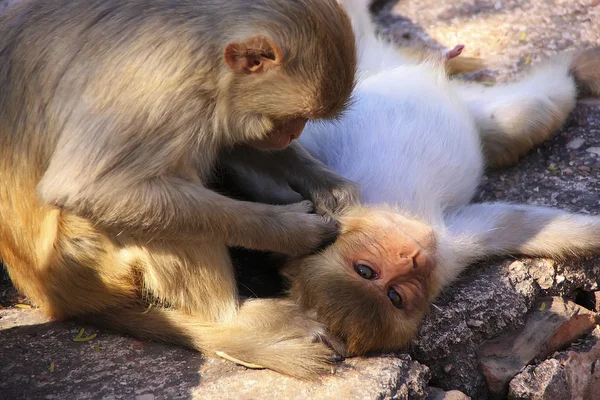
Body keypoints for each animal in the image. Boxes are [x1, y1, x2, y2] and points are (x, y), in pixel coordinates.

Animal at [0, 0, 360, 378]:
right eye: (292, 118)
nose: (292, 134)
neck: (205, 48)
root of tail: (49, 297)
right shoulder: (164, 88)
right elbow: (85, 187)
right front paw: (294, 231)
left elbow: (233, 141)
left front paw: (331, 189)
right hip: (82, 258)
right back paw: (235, 315)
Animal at [236, 0, 600, 356]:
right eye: (394, 295)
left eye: (365, 271)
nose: (411, 260)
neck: (387, 214)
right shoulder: (447, 253)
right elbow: (515, 225)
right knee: (528, 117)